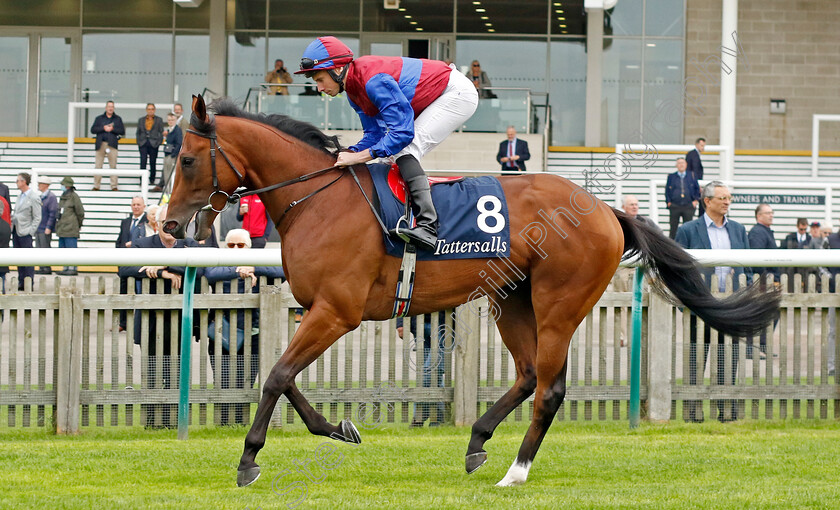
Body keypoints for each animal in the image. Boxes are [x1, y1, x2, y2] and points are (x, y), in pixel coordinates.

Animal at [162, 93, 780, 488]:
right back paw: (478, 441)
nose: (168, 227)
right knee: (528, 375)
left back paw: (515, 471)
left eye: (187, 159)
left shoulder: (337, 312)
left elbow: (274, 376)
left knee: (549, 388)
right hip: (511, 298)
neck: (317, 198)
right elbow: (284, 378)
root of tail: (609, 211)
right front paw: (338, 428)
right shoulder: (317, 309)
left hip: (559, 301)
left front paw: (249, 460)